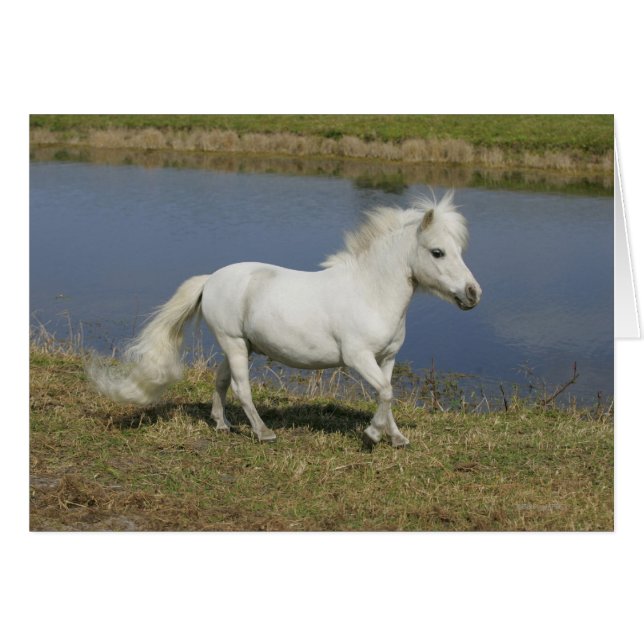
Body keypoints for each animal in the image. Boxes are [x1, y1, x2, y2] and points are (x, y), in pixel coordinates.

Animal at [88, 189, 481, 447]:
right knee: (241, 388)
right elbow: (385, 393)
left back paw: (222, 425)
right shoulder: (358, 357)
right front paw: (371, 435)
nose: (473, 293)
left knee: (220, 381)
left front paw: (395, 437)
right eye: (437, 252)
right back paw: (263, 433)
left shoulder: (387, 358)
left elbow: (388, 394)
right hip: (233, 343)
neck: (370, 291)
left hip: (241, 345)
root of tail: (211, 279)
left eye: (459, 250)